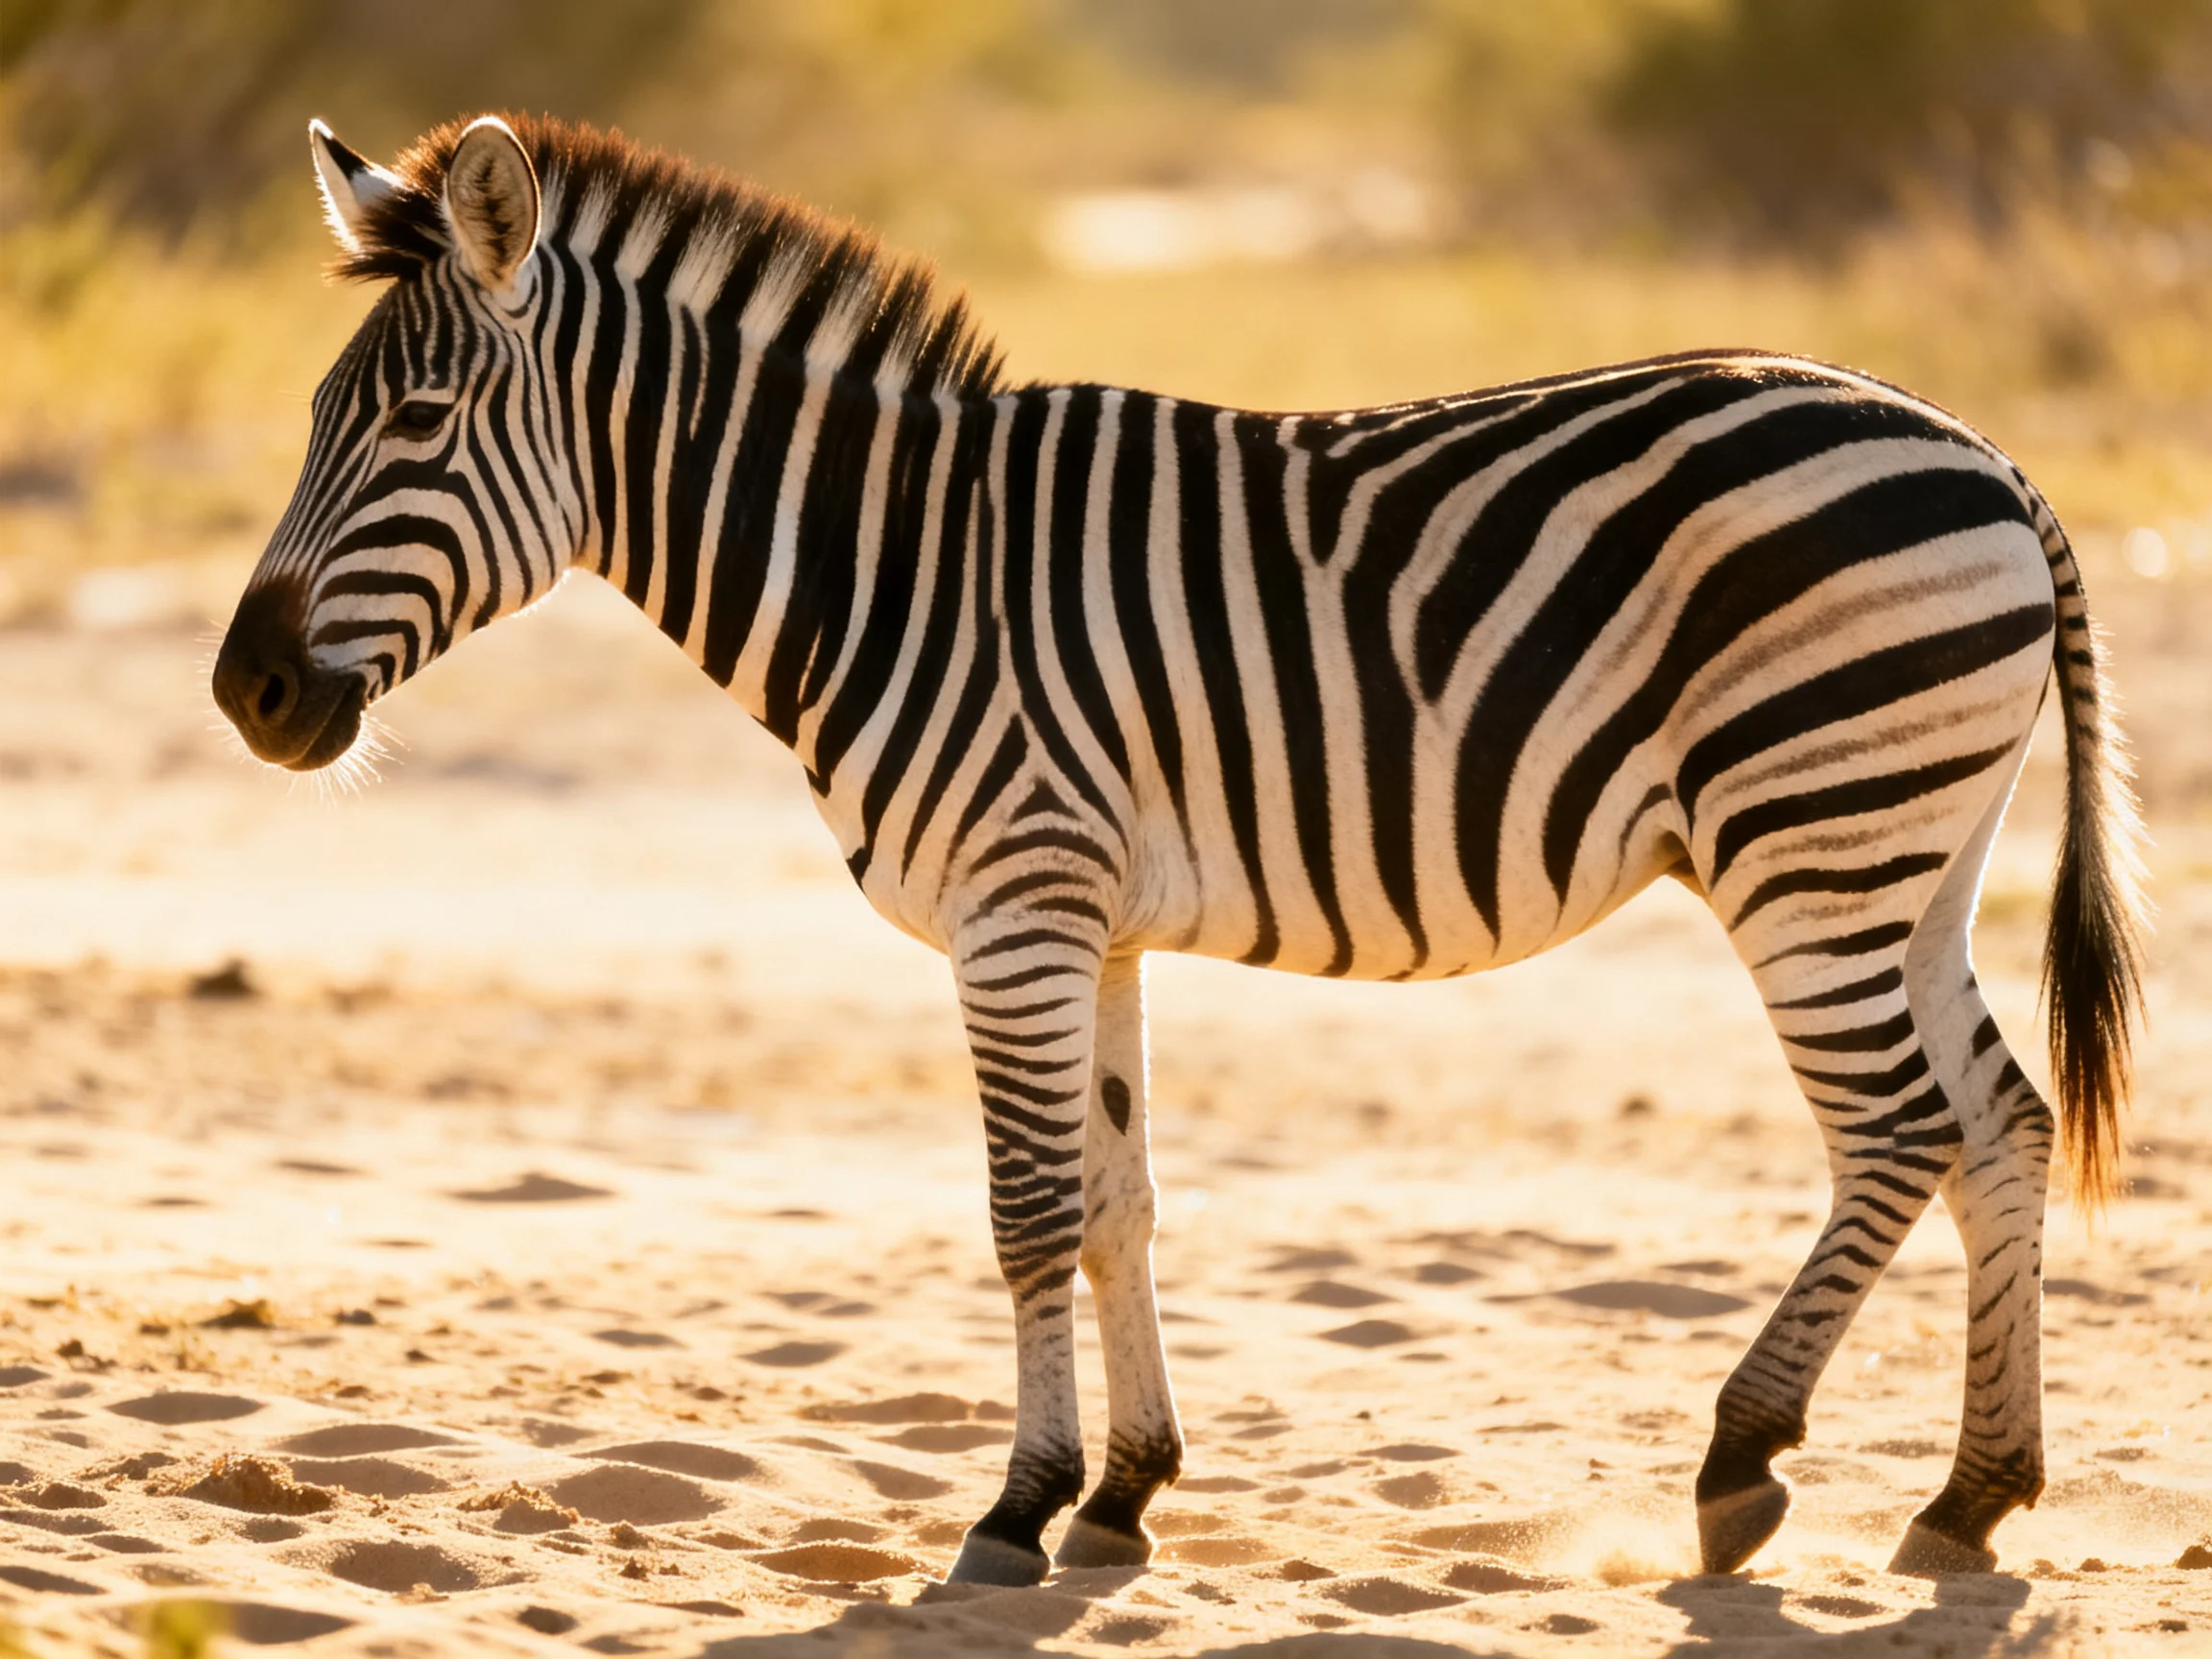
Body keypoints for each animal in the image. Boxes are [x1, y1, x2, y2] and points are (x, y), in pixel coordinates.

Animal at [213, 114, 2146, 1586]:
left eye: (414, 427)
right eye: (309, 420)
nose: (245, 692)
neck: (890, 569)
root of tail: (1992, 459)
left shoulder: (1017, 903)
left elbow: (1026, 1214)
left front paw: (1015, 1506)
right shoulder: (1096, 921)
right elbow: (1119, 1203)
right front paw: (1127, 1489)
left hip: (1802, 839)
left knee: (1897, 1133)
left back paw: (1744, 1460)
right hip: (1905, 855)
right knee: (2000, 1124)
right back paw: (1970, 1498)